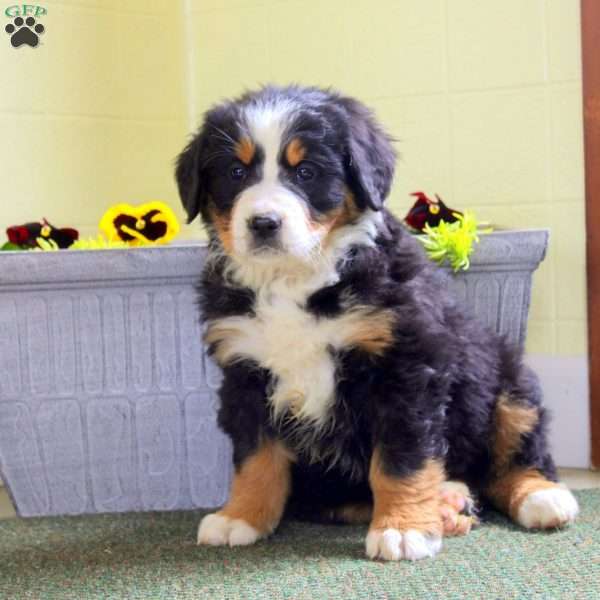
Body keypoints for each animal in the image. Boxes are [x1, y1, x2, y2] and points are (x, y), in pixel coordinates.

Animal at [176, 85, 580, 564]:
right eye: (235, 172)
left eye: (307, 172)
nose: (263, 223)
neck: (295, 281)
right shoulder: (245, 373)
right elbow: (255, 457)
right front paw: (240, 516)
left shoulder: (405, 366)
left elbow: (400, 458)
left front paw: (403, 528)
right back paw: (449, 501)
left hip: (509, 377)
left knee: (514, 452)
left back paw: (539, 496)